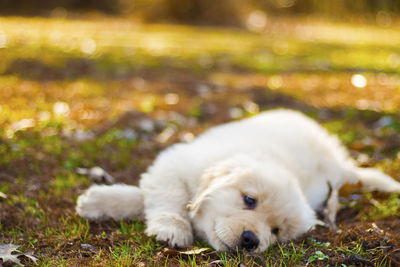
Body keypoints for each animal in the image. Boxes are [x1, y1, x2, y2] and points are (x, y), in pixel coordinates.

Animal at [76, 109, 400, 253]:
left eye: (276, 231)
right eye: (249, 200)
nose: (250, 240)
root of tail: (339, 162)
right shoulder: (173, 164)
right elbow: (166, 197)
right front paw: (171, 227)